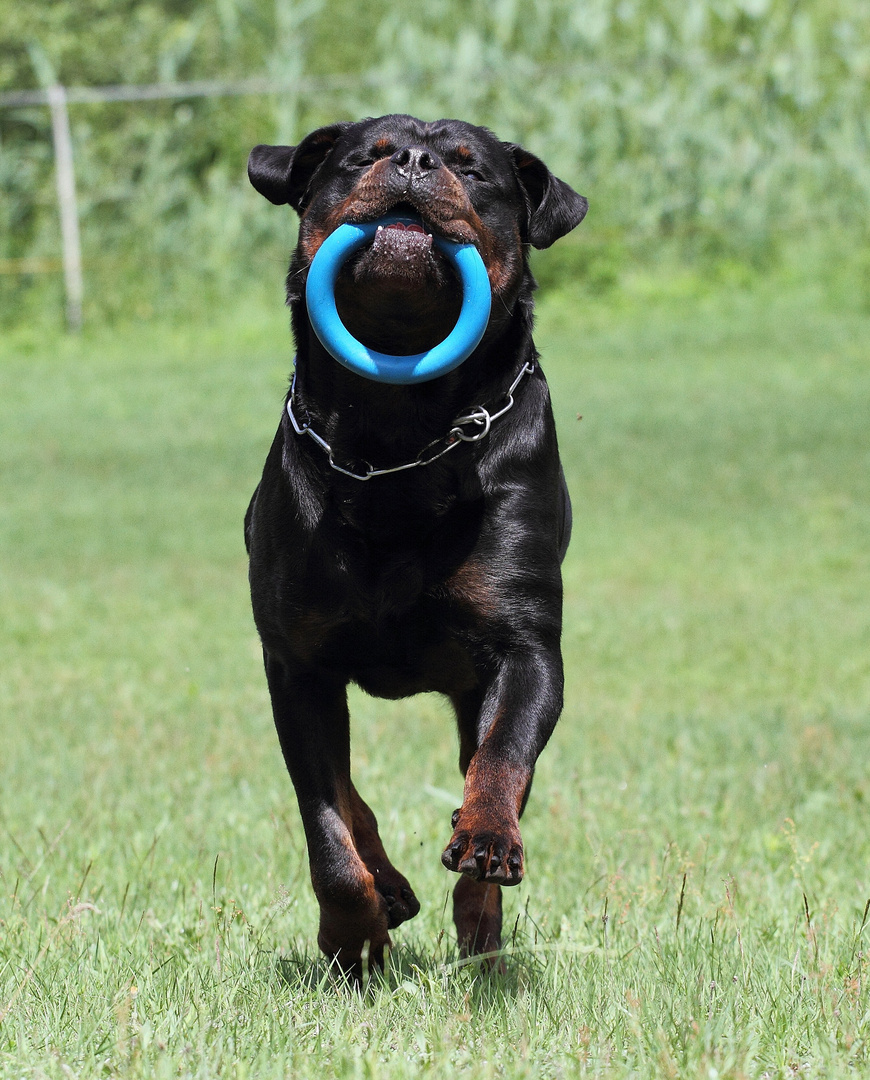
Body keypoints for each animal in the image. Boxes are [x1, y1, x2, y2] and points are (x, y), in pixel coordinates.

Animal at [245, 116, 587, 980]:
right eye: (363, 155)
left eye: (474, 169)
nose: (415, 159)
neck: (399, 435)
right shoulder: (297, 664)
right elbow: (327, 823)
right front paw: (351, 936)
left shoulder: (526, 650)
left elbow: (502, 762)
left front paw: (488, 842)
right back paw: (392, 893)